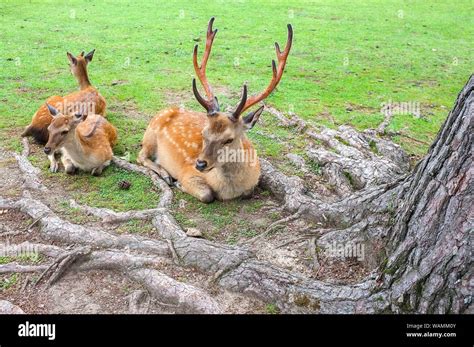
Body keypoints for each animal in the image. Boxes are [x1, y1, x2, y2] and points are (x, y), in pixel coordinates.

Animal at [138, 19, 292, 203]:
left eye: (229, 139)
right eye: (204, 134)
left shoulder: (253, 181)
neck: (229, 191)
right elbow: (207, 195)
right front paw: (179, 184)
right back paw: (166, 174)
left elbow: (248, 192)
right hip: (150, 136)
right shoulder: (187, 172)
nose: (200, 164)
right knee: (140, 155)